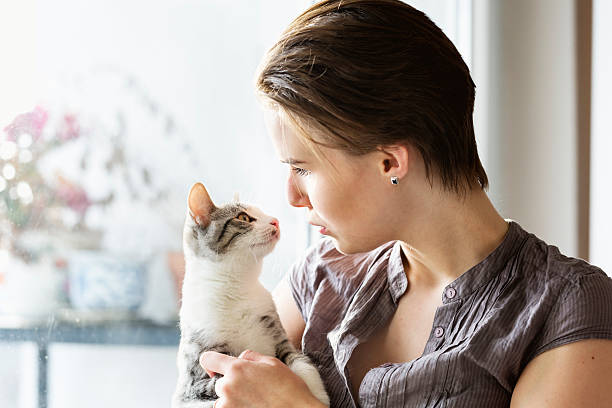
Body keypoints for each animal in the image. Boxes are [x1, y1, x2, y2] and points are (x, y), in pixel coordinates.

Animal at [171, 182, 330, 408]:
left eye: (263, 213)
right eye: (243, 217)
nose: (275, 220)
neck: (236, 287)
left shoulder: (276, 331)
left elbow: (300, 362)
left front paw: (317, 395)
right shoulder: (191, 383)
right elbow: (213, 386)